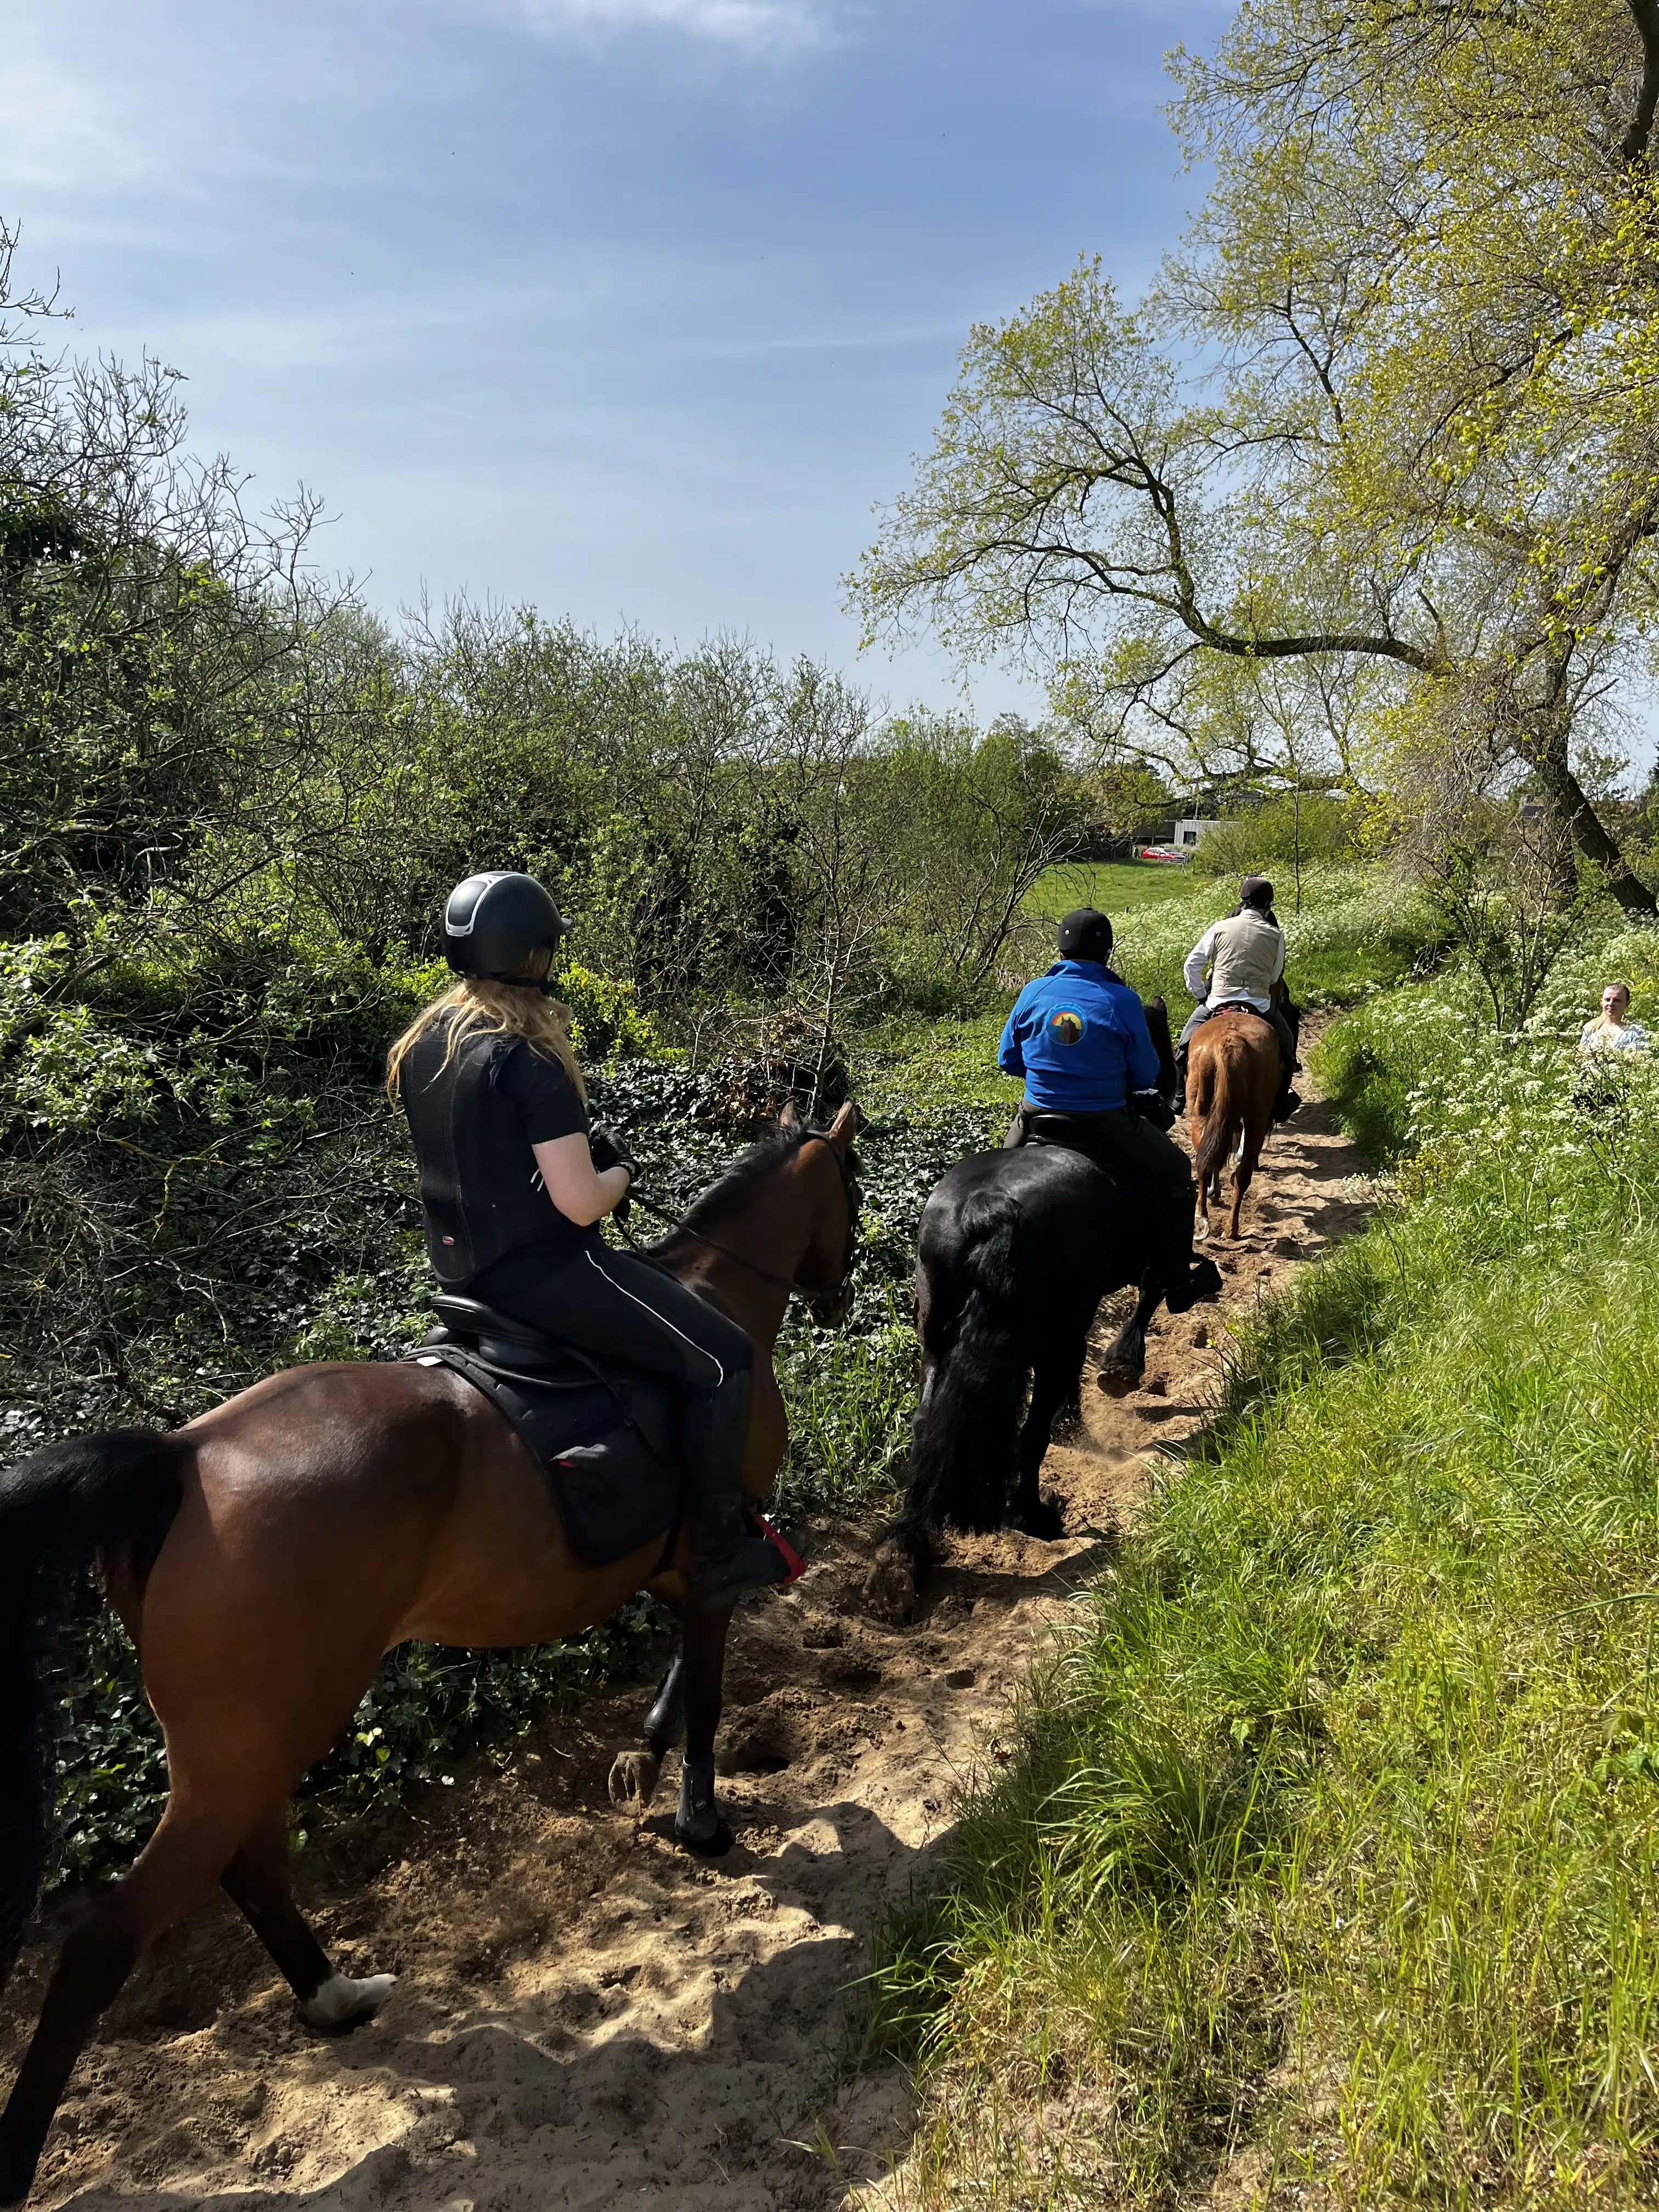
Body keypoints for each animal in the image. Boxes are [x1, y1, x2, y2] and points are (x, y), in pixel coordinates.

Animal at [0, 1101, 861, 2209]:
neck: (715, 1292)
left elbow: (675, 1679)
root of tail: (183, 1458)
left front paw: (644, 1754)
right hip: (258, 1737)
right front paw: (700, 1817)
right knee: (107, 1945)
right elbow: (709, 1692)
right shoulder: (714, 1564)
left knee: (253, 1866)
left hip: (255, 1738)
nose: (840, 1295)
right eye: (852, 1190)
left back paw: (332, 1995)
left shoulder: (679, 1576)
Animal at [890, 999, 1215, 1576]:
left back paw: (916, 1539)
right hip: (1052, 1335)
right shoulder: (1146, 1266)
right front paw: (1122, 1367)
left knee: (928, 1420)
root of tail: (990, 1209)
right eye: (1159, 1044)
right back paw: (1033, 1517)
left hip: (939, 1336)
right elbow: (1151, 1298)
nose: (1175, 1098)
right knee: (1031, 1430)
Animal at [1187, 1008, 1279, 1240]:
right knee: (1241, 1172)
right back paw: (1231, 1228)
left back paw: (1204, 1214)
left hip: (1200, 1112)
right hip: (1257, 1117)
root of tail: (1230, 1041)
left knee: (1204, 1160)